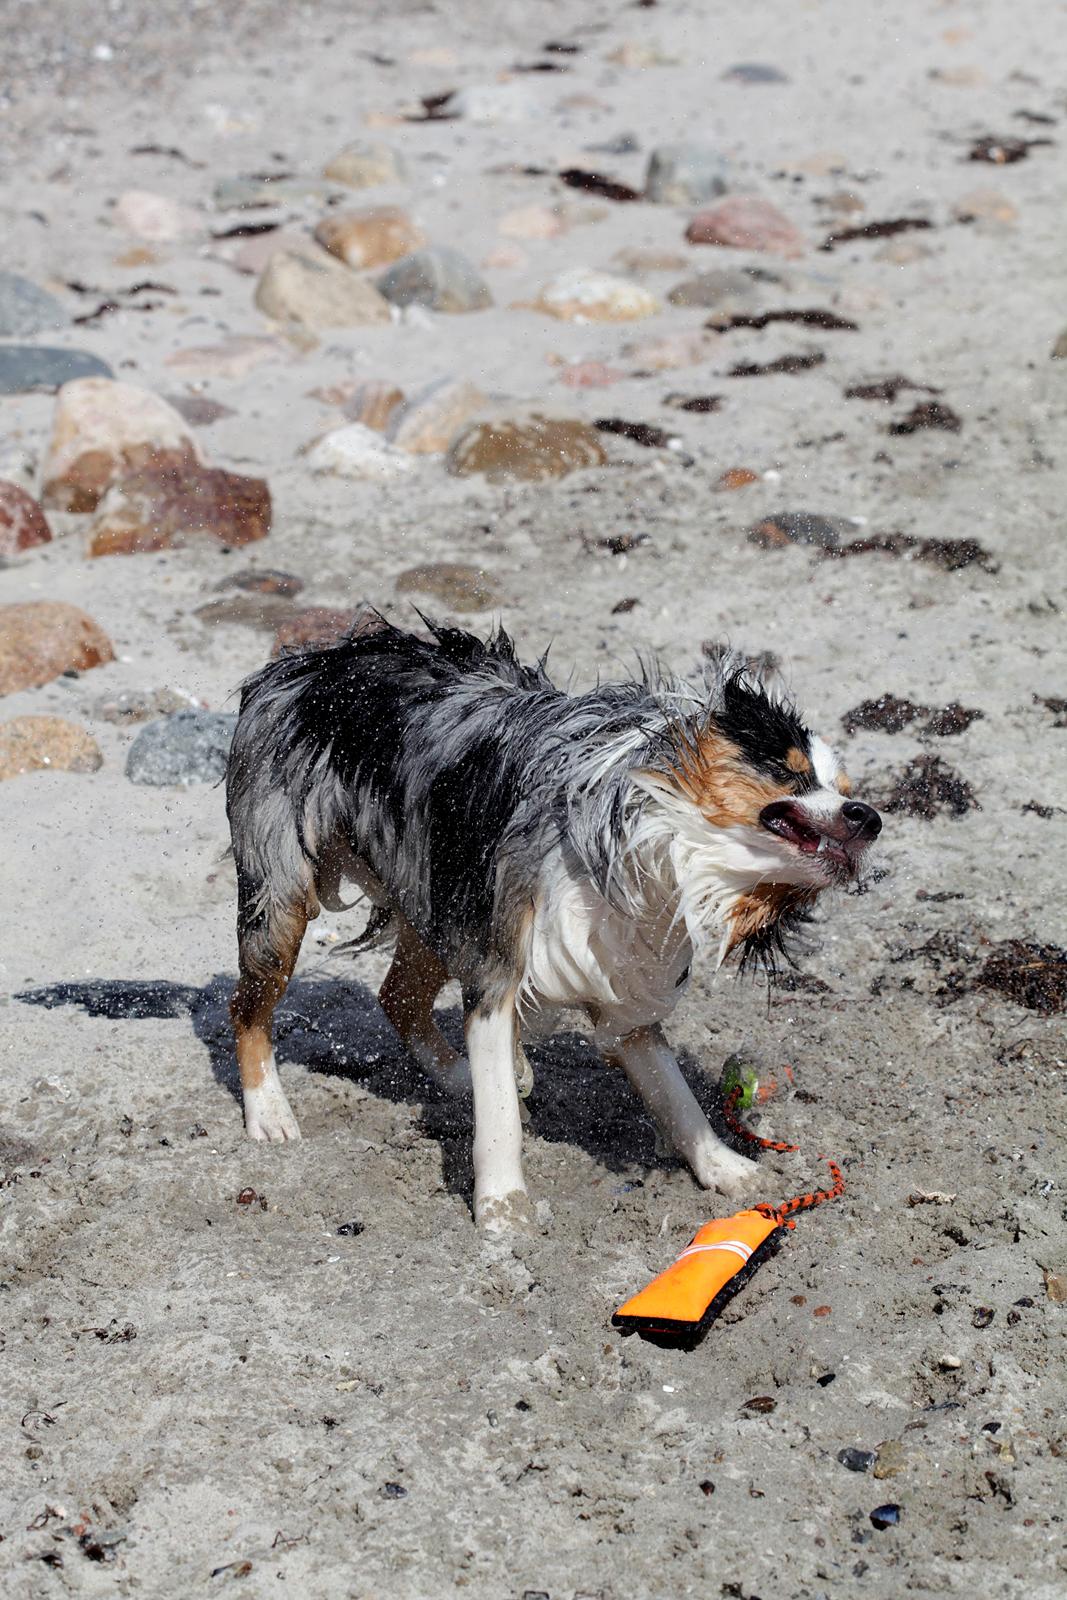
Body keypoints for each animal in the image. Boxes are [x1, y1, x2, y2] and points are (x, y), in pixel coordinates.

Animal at [227, 617, 883, 1228]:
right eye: (792, 773)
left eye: (847, 788)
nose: (869, 817)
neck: (661, 854)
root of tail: (303, 664)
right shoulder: (498, 965)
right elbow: (500, 1115)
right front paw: (501, 1207)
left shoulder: (625, 979)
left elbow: (675, 1096)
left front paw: (721, 1165)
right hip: (282, 897)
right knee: (249, 1008)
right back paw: (270, 1114)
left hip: (435, 898)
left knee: (398, 996)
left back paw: (455, 1074)